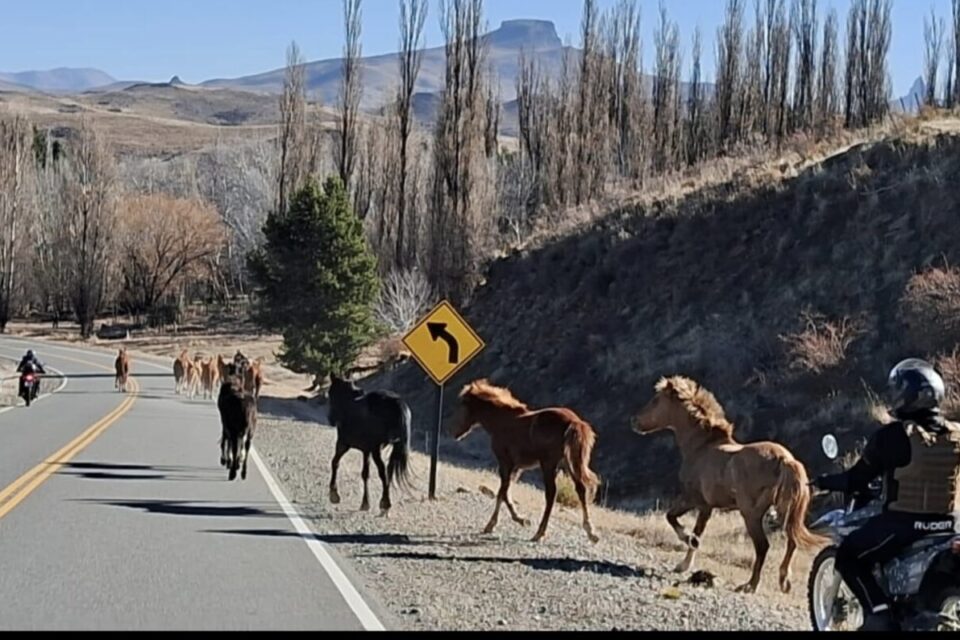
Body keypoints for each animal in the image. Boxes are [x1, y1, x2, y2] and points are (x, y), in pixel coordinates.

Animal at [327, 374, 413, 516]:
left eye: (330, 393)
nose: (331, 419)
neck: (348, 403)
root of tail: (398, 402)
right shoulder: (366, 450)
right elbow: (365, 474)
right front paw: (365, 503)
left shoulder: (343, 444)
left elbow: (335, 462)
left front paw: (334, 494)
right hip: (390, 448)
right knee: (387, 471)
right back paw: (384, 503)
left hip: (376, 450)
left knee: (383, 472)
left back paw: (385, 504)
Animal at [452, 379, 601, 544]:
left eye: (463, 405)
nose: (454, 432)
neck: (502, 421)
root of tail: (573, 421)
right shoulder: (517, 467)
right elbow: (505, 491)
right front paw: (520, 520)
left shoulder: (505, 462)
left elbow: (502, 492)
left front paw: (493, 524)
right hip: (569, 463)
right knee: (581, 489)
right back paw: (591, 533)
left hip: (549, 464)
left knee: (551, 494)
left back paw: (539, 533)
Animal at [631, 375, 827, 594]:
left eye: (656, 400)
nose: (635, 421)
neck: (702, 447)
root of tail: (785, 460)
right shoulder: (707, 507)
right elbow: (696, 529)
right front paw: (684, 563)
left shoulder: (694, 499)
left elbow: (674, 519)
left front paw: (687, 546)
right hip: (784, 511)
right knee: (791, 541)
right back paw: (784, 582)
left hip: (751, 514)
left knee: (763, 546)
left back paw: (750, 585)